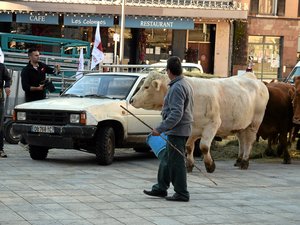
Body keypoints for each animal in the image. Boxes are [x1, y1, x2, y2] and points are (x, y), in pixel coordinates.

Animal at [131, 71, 270, 172]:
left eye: (146, 87)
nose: (132, 100)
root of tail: (252, 77)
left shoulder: (213, 125)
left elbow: (204, 147)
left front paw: (210, 165)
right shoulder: (192, 129)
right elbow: (188, 147)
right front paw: (189, 165)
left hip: (254, 123)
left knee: (249, 141)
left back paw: (245, 162)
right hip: (240, 124)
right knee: (242, 140)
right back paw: (239, 160)